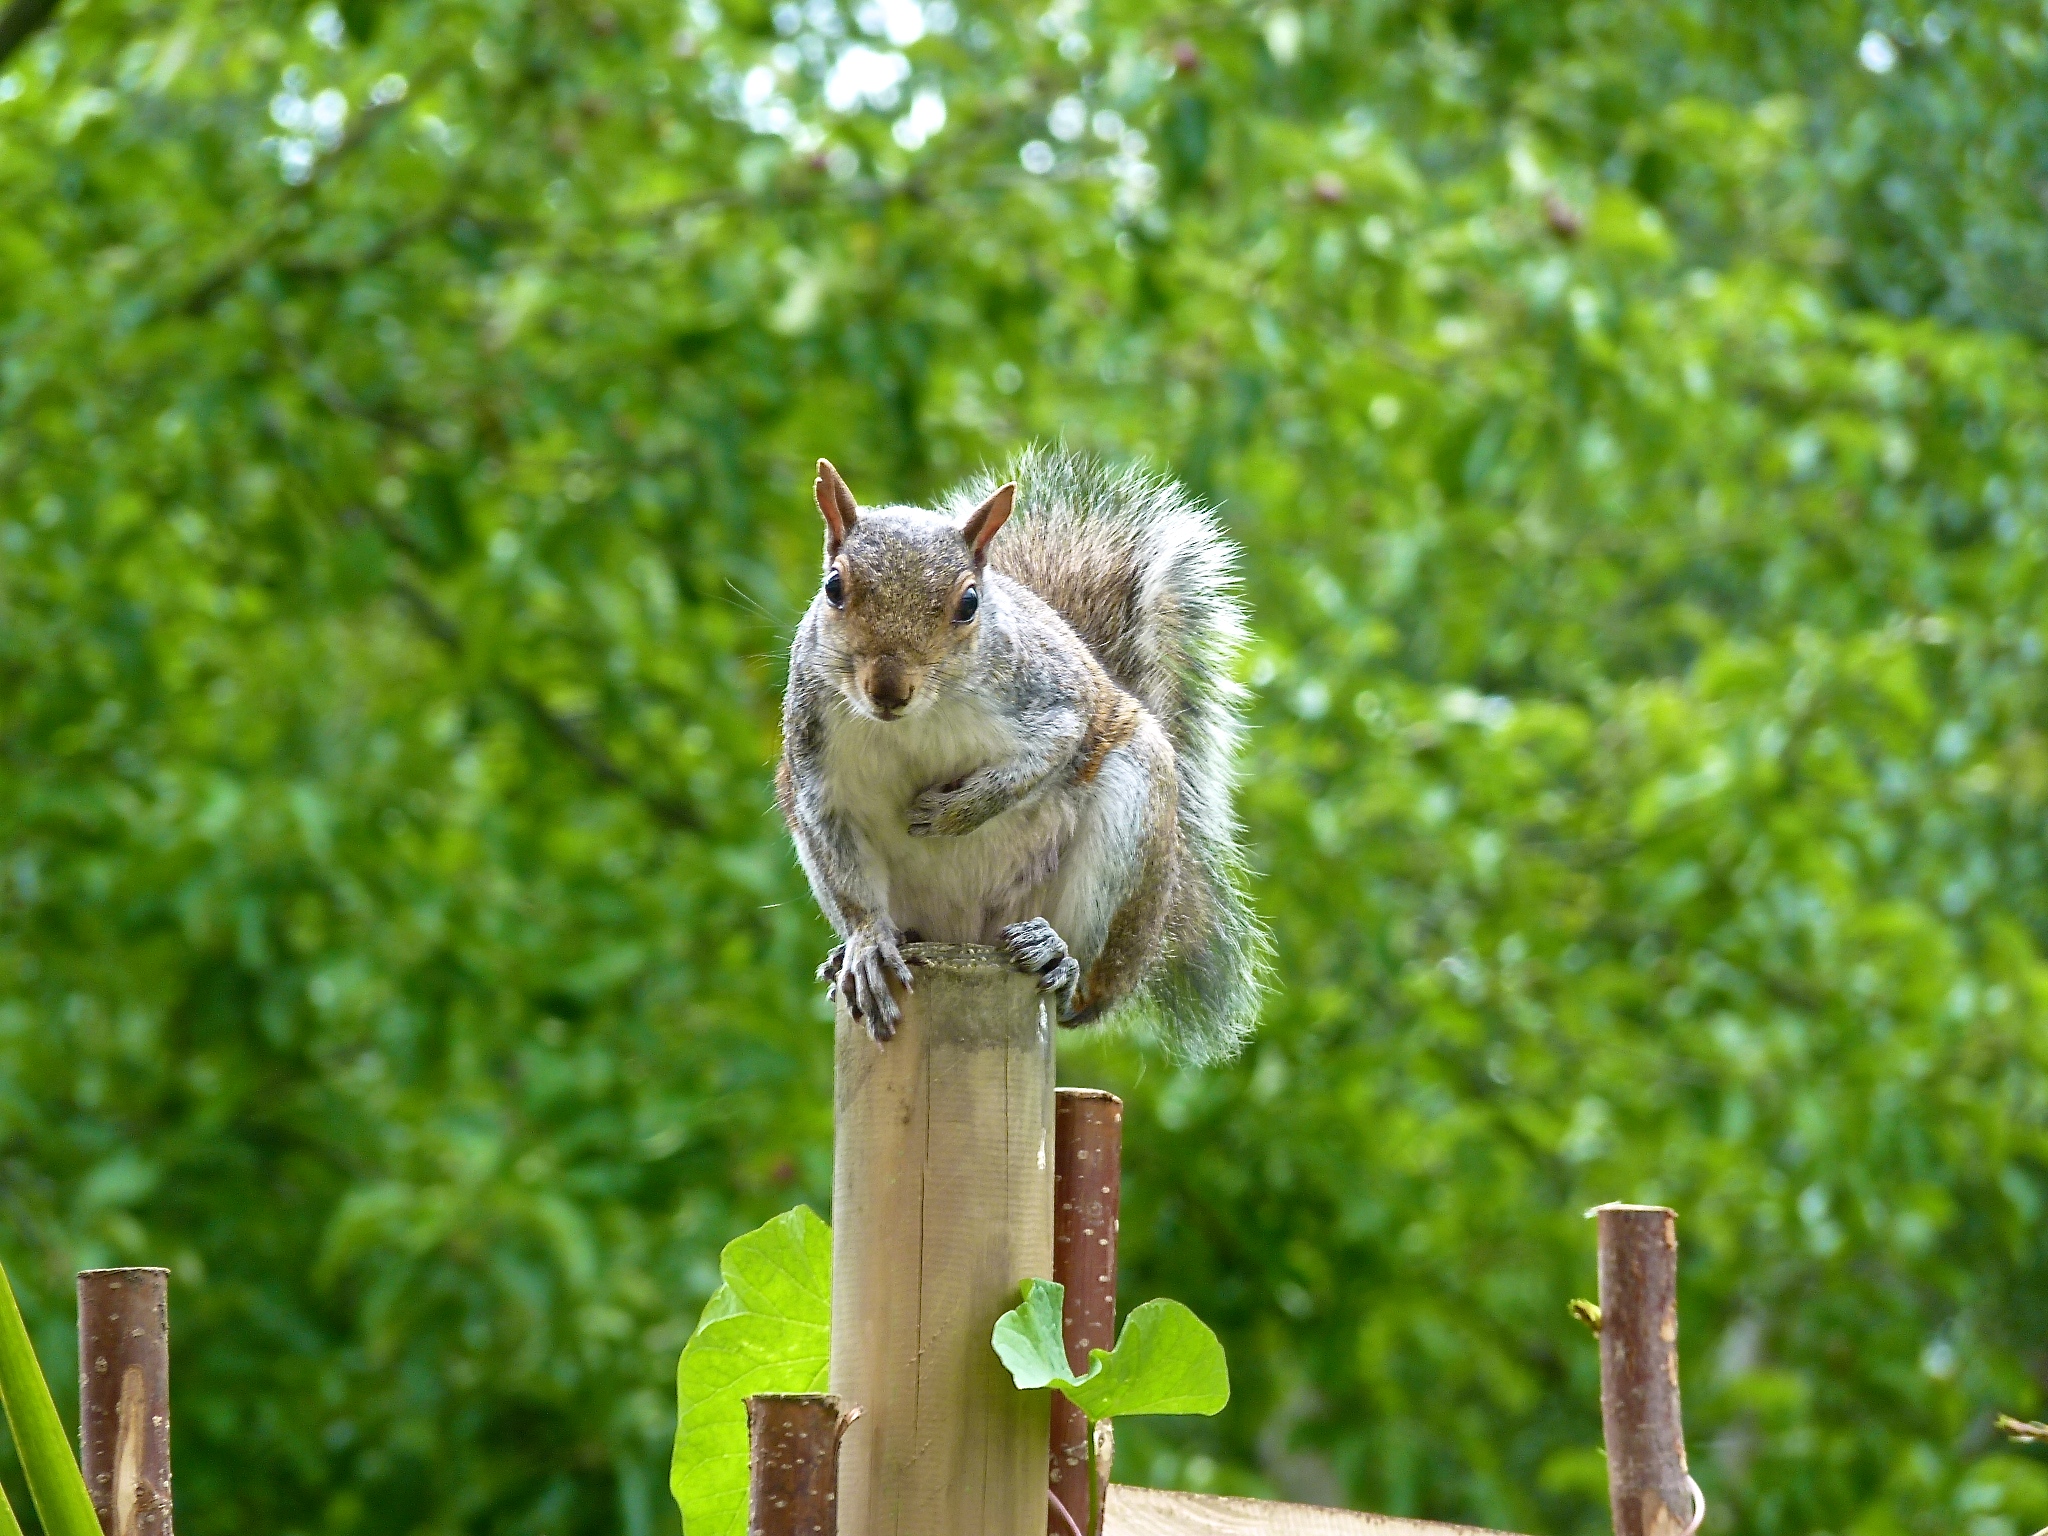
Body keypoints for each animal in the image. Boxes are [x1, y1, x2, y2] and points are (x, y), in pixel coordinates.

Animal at [782, 450, 1261, 1064]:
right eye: (834, 587)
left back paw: (1060, 957)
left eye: (969, 603)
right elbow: (849, 882)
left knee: (1085, 992)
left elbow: (1045, 754)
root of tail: (965, 936)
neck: (915, 722)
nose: (888, 689)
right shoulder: (816, 778)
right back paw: (852, 955)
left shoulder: (1056, 698)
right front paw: (866, 947)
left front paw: (954, 813)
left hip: (1131, 821)